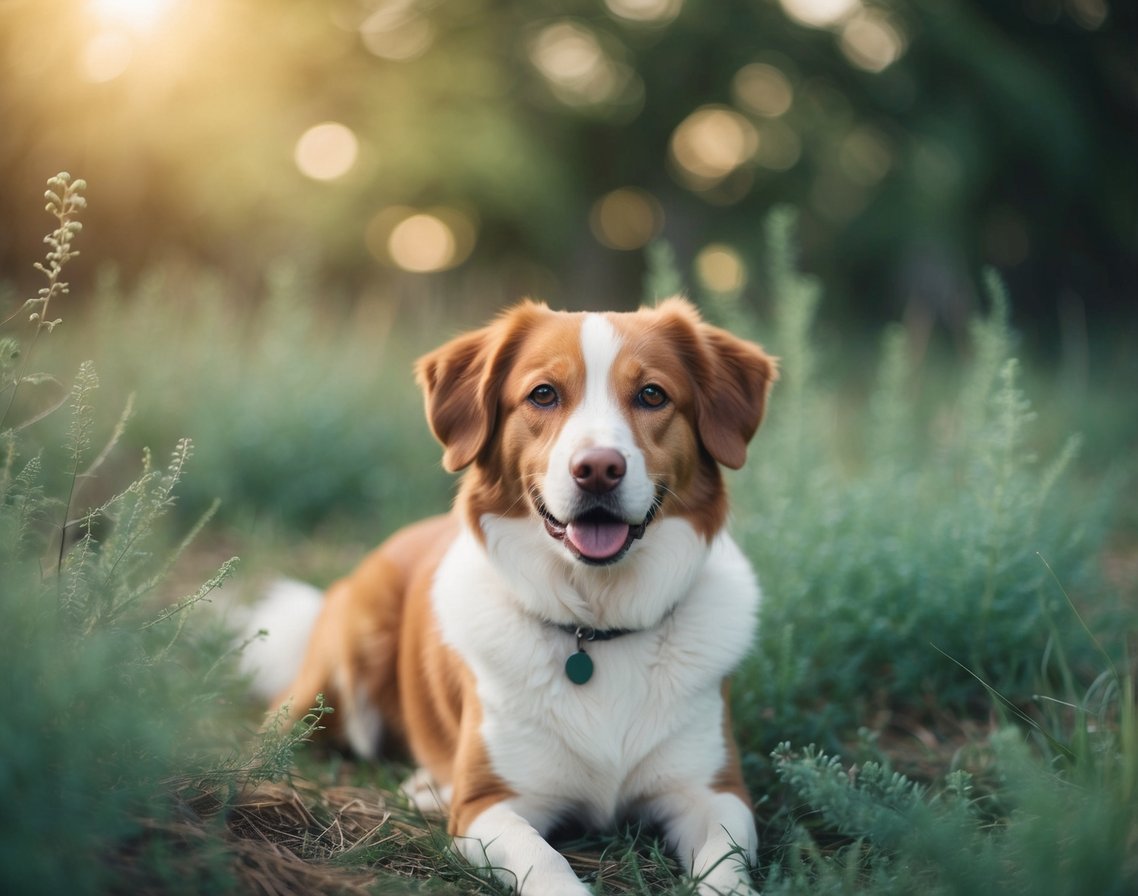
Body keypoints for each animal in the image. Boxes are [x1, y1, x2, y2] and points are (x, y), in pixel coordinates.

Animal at [244, 300, 778, 896]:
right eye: (543, 394)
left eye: (652, 395)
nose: (598, 469)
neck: (594, 627)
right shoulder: (488, 805)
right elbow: (545, 861)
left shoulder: (715, 791)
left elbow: (725, 860)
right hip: (347, 655)